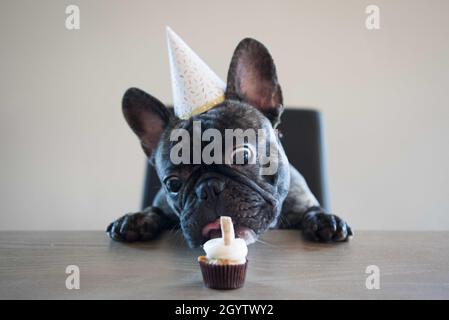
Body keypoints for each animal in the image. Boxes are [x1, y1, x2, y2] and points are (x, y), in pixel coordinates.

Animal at [107, 38, 352, 248]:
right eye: (173, 184)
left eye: (243, 155)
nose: (207, 189)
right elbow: (154, 209)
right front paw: (135, 219)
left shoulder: (301, 200)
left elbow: (313, 209)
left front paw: (326, 220)